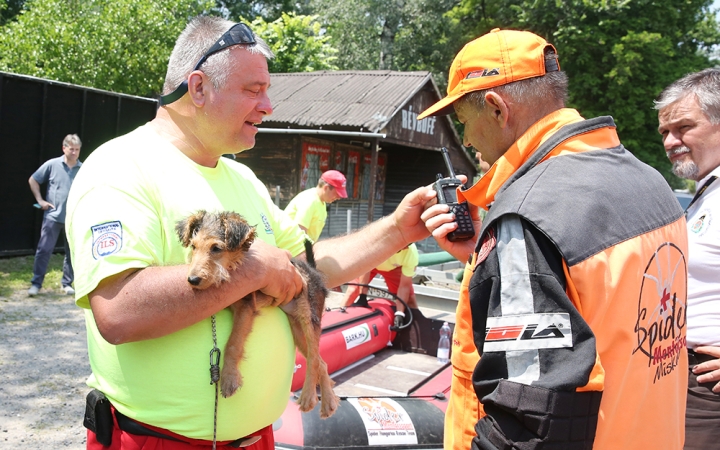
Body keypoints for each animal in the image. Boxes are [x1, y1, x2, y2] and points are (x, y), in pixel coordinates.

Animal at [176, 211, 340, 418]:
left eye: (216, 248)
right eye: (193, 246)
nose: (193, 280)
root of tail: (314, 271)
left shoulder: (246, 307)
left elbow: (233, 344)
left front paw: (229, 379)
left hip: (308, 314)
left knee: (313, 360)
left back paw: (309, 397)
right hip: (296, 327)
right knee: (320, 361)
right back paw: (328, 403)